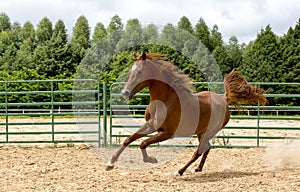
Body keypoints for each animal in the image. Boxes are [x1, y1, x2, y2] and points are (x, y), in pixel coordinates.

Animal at [106, 51, 268, 176]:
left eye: (140, 72)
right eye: (130, 71)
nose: (125, 92)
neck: (164, 101)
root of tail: (224, 99)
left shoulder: (167, 133)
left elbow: (143, 143)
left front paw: (151, 160)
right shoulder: (150, 125)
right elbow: (129, 139)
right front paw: (110, 163)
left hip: (209, 131)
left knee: (198, 151)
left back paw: (180, 171)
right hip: (201, 132)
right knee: (207, 148)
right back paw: (197, 169)